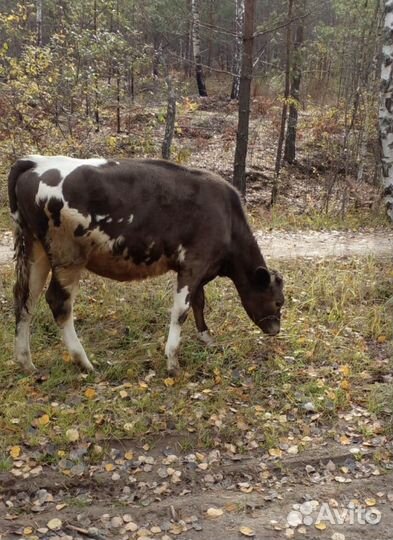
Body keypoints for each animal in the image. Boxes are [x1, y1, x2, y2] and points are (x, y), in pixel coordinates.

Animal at [7, 156, 284, 374]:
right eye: (278, 302)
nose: (276, 329)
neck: (227, 219)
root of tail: (36, 162)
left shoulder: (199, 269)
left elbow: (199, 302)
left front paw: (206, 338)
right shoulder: (194, 264)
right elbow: (181, 311)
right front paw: (172, 361)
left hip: (36, 250)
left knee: (25, 298)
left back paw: (26, 362)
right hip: (68, 256)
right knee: (58, 303)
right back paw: (84, 361)